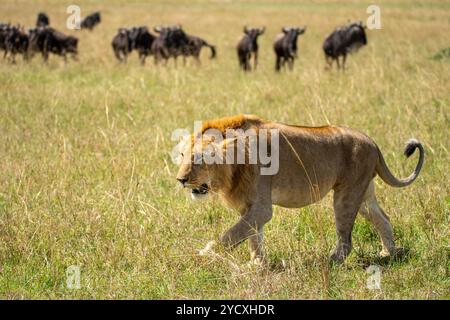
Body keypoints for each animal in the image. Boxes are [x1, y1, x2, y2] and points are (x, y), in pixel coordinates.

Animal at [177, 114, 426, 262]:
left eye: (199, 158)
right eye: (181, 156)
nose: (180, 179)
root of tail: (372, 142)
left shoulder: (262, 207)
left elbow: (231, 234)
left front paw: (205, 255)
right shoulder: (248, 207)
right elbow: (252, 235)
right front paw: (257, 264)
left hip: (346, 195)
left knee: (346, 239)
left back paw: (332, 260)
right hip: (363, 193)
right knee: (383, 218)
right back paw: (388, 252)